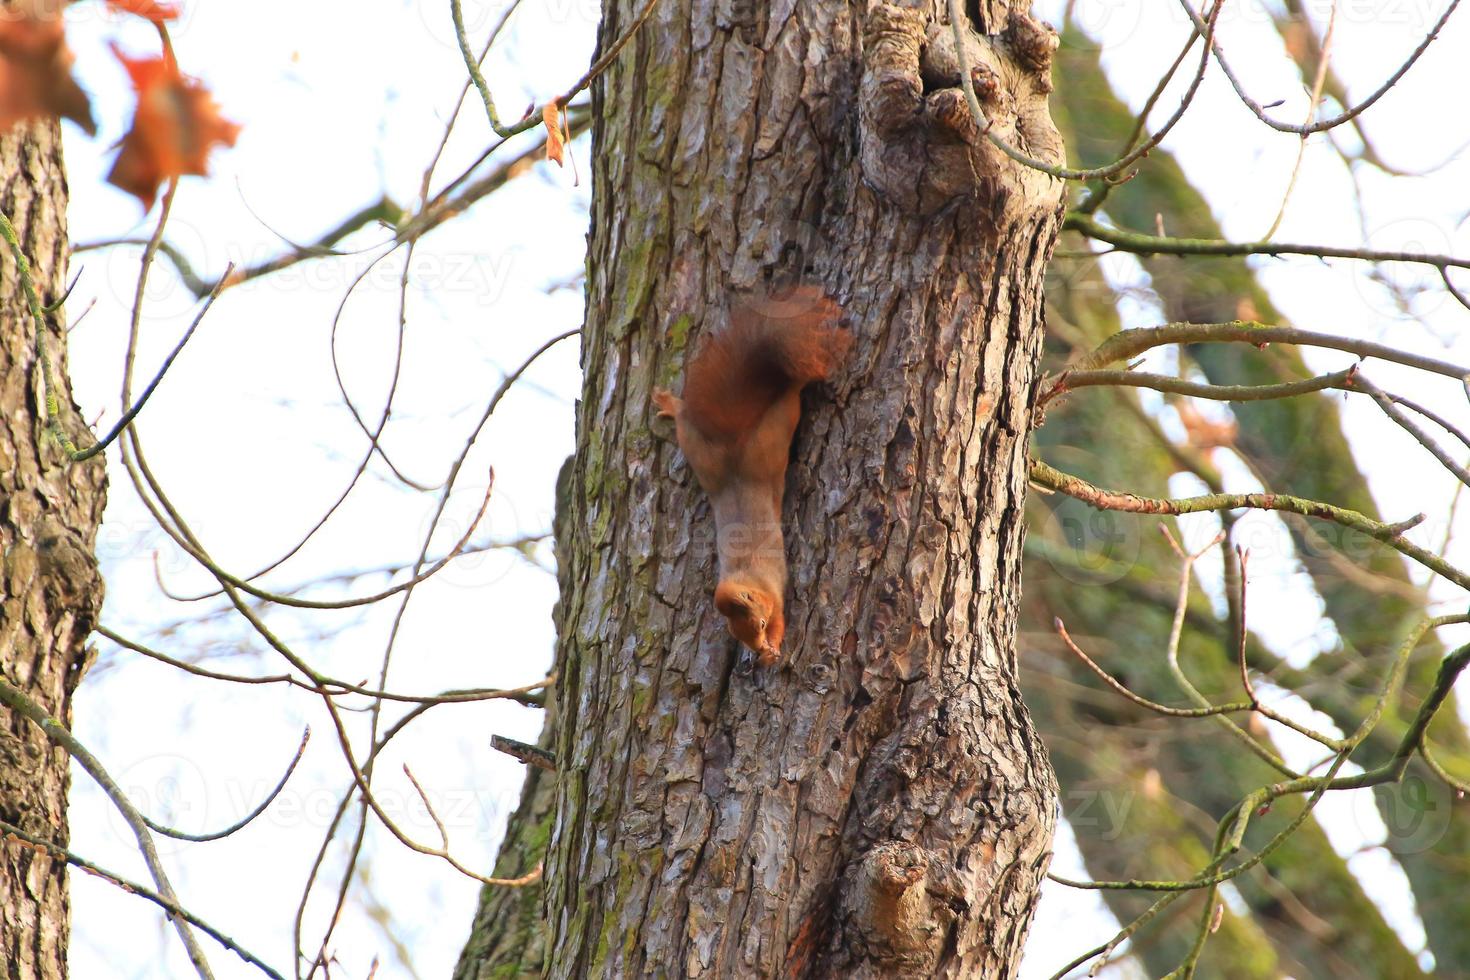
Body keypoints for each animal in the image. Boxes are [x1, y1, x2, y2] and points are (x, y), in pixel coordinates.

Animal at [655, 285, 852, 667]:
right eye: (737, 635)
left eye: (758, 623)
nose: (757, 648)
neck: (747, 575)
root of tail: (734, 448)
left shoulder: (775, 592)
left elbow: (781, 620)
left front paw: (773, 649)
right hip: (704, 456)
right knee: (687, 420)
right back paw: (671, 405)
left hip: (772, 434)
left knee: (789, 393)